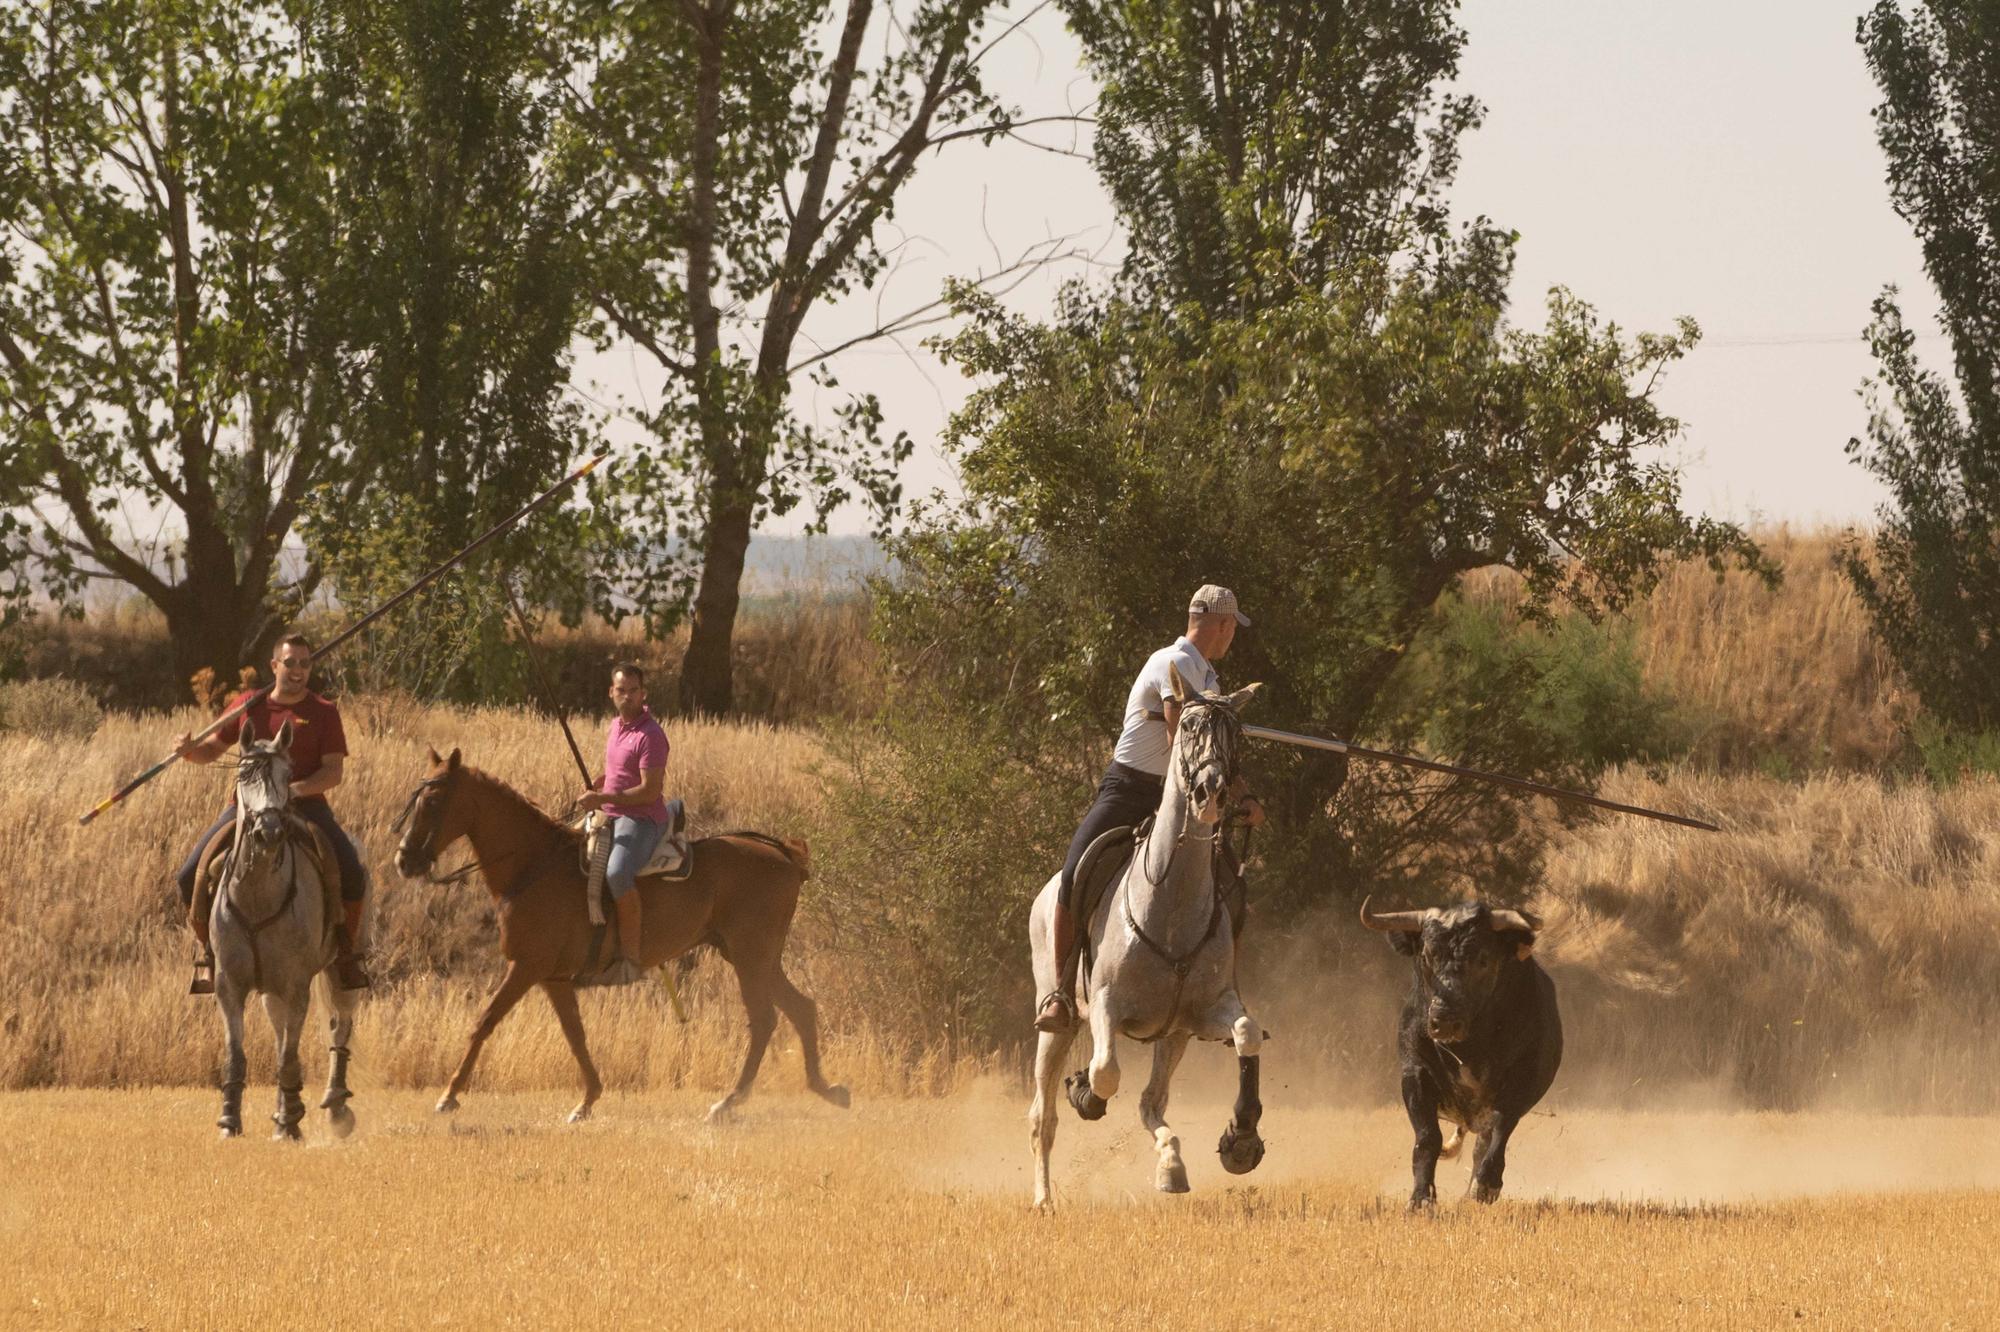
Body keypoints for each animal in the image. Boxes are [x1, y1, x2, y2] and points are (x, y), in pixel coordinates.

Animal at [209, 716, 362, 1144]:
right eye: (244, 774)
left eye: (288, 774)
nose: (270, 832)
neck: (257, 892)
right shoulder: (229, 984)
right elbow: (238, 1053)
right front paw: (230, 1120)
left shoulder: (297, 985)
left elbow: (290, 1056)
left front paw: (292, 1123)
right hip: (270, 990)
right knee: (281, 1035)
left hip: (340, 972)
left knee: (340, 1026)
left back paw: (336, 1107)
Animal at [394, 748, 848, 1120]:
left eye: (432, 801)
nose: (405, 859)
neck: (533, 865)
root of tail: (784, 854)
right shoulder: (554, 978)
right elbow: (575, 1035)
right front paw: (588, 1099)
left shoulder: (526, 967)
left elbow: (485, 1021)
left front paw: (449, 1095)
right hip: (754, 957)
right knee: (801, 1009)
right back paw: (826, 1089)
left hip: (751, 955)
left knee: (765, 1018)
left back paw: (728, 1102)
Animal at [1032, 668, 1264, 1200]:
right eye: (1189, 726)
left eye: (1236, 733)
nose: (1211, 791)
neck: (1171, 905)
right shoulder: (1105, 1005)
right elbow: (1105, 1073)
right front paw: (1084, 1092)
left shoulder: (1206, 1012)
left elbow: (1246, 1034)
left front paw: (1241, 1138)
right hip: (1057, 1023)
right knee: (1042, 1119)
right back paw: (1044, 1198)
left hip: (1172, 1037)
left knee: (1150, 1101)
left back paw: (1171, 1166)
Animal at [1368, 892, 1568, 1200]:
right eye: (1426, 955)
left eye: (1483, 958)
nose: (1444, 1020)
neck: (1468, 1048)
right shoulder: (1415, 1072)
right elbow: (1427, 1137)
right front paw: (1421, 1197)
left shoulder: (1522, 1079)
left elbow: (1499, 1128)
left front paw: (1485, 1185)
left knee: (1484, 1140)